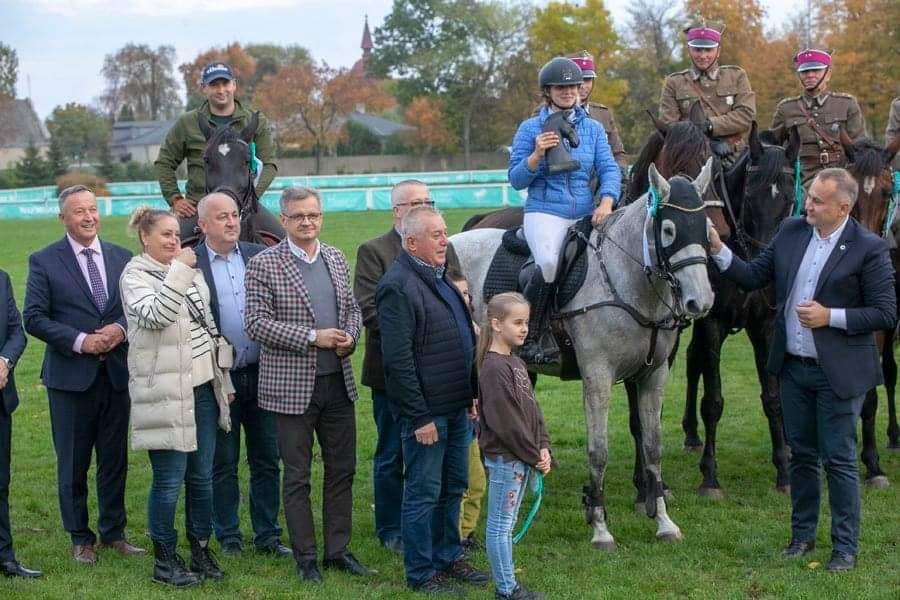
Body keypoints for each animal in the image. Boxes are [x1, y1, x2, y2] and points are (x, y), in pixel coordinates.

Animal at [450, 158, 716, 548]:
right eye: (668, 230)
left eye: (706, 230)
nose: (702, 301)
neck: (629, 285)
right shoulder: (598, 376)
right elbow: (599, 450)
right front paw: (600, 526)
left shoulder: (654, 375)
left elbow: (653, 447)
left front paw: (663, 521)